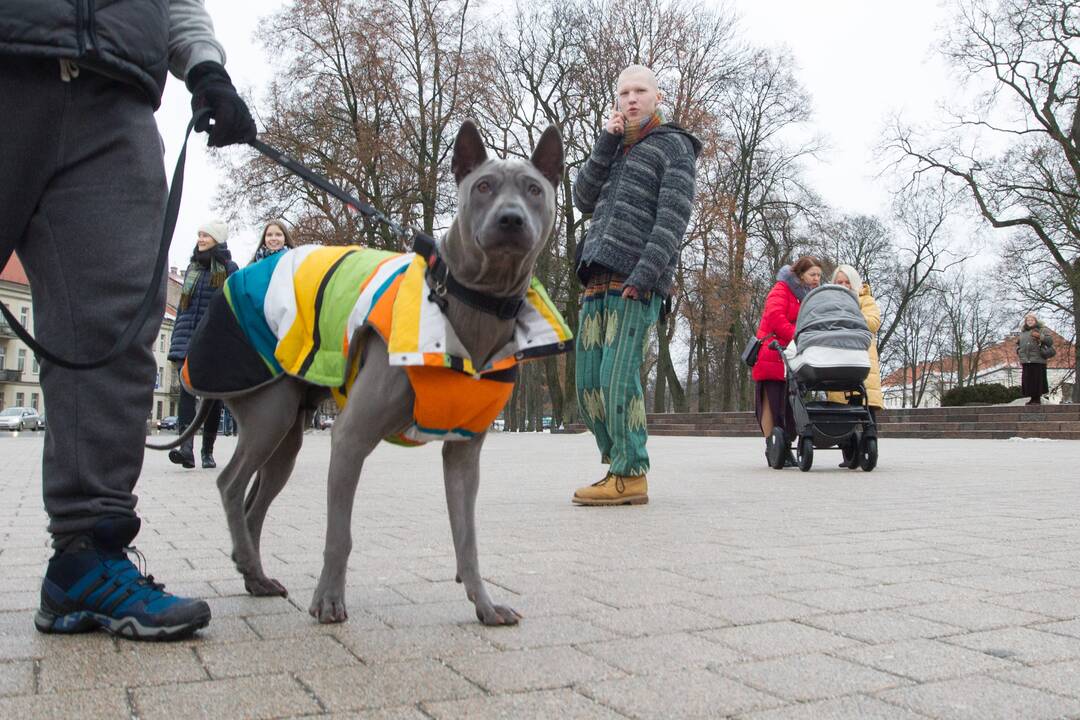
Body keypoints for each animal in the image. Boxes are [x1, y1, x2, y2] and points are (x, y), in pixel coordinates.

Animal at [156, 119, 570, 626]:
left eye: (533, 189)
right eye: (484, 186)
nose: (510, 219)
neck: (470, 303)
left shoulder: (464, 452)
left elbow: (466, 537)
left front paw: (485, 605)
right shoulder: (350, 436)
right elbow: (340, 534)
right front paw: (329, 601)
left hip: (286, 436)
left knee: (254, 504)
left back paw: (254, 573)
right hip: (268, 413)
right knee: (232, 487)